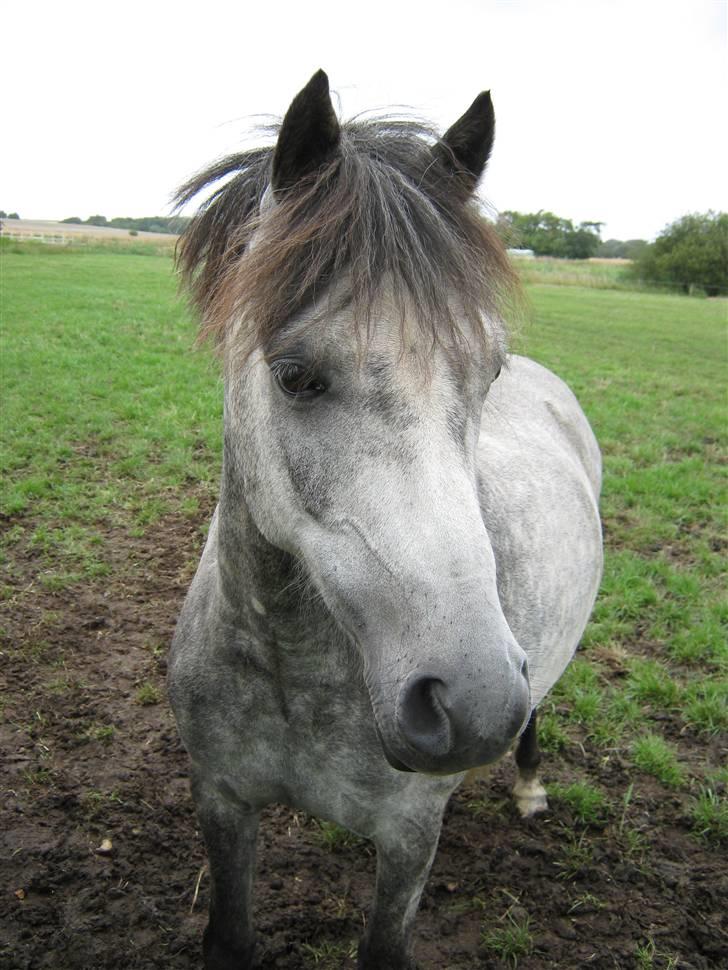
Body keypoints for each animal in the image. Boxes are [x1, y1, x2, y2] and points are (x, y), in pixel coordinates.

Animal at [171, 70, 604, 968]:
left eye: (488, 371)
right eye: (295, 376)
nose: (472, 704)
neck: (292, 672)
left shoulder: (408, 841)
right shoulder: (221, 799)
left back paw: (529, 784)